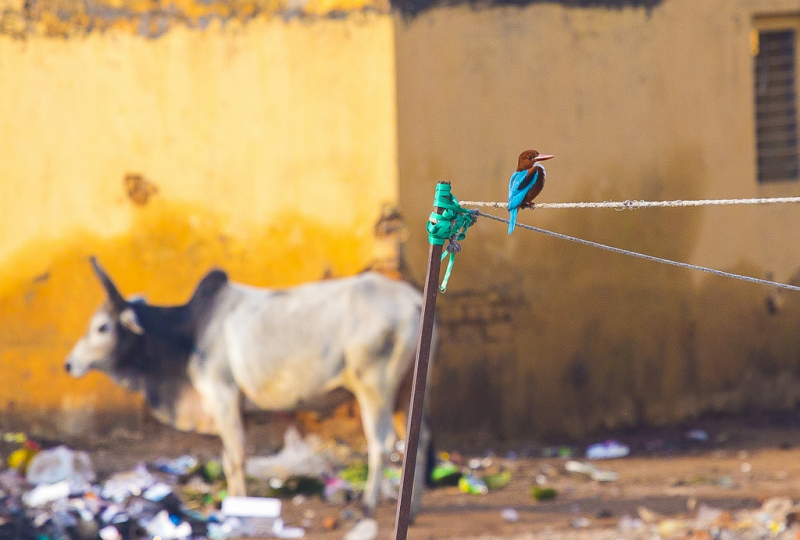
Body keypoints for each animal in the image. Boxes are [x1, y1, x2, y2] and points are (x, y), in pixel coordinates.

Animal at [67, 260, 432, 516]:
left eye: (102, 327)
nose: (69, 365)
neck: (188, 333)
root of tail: (412, 300)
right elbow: (230, 458)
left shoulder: (223, 397)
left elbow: (236, 458)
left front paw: (239, 505)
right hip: (407, 390)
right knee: (420, 437)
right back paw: (413, 508)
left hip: (375, 386)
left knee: (381, 443)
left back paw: (368, 504)